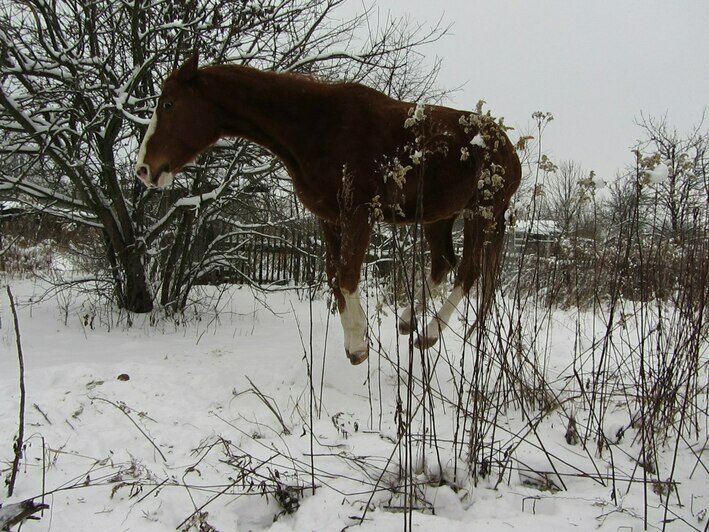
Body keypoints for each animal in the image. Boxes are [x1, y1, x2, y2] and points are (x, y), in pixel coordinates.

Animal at [137, 53, 520, 366]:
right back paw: (408, 320)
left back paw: (428, 332)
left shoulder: (359, 215)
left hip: (481, 213)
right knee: (443, 263)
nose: (143, 169)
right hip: (439, 217)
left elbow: (348, 275)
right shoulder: (329, 219)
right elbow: (335, 276)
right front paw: (356, 339)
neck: (319, 125)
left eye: (168, 103)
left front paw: (359, 347)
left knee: (468, 272)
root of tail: (508, 148)